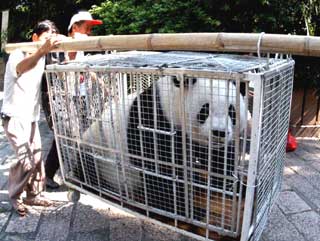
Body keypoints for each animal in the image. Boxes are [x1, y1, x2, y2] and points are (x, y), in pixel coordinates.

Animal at [81, 73, 249, 217]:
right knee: (88, 164)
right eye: (205, 110)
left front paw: (235, 186)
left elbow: (218, 159)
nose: (219, 133)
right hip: (96, 149)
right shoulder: (153, 121)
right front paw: (185, 209)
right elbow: (160, 169)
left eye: (232, 111)